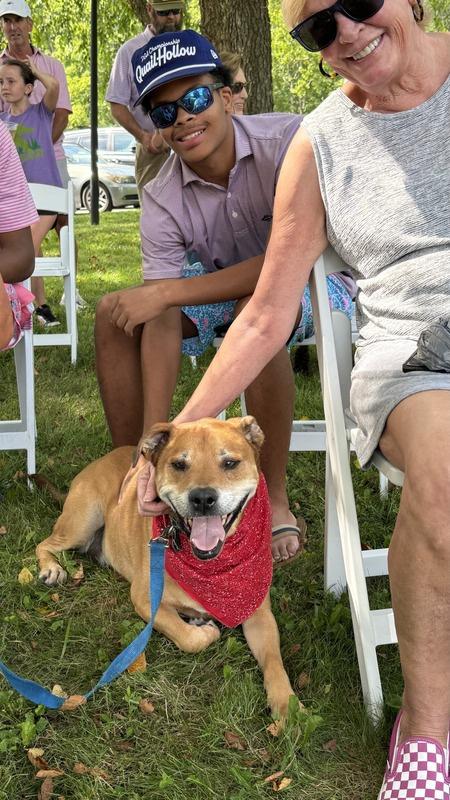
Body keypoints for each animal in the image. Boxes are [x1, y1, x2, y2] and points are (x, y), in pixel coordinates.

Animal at [36, 416, 297, 718]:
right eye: (179, 464)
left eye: (230, 463)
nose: (203, 498)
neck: (210, 565)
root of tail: (102, 459)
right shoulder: (144, 598)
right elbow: (189, 639)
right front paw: (204, 630)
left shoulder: (258, 613)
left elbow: (274, 661)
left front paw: (287, 705)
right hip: (82, 521)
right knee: (45, 544)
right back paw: (51, 568)